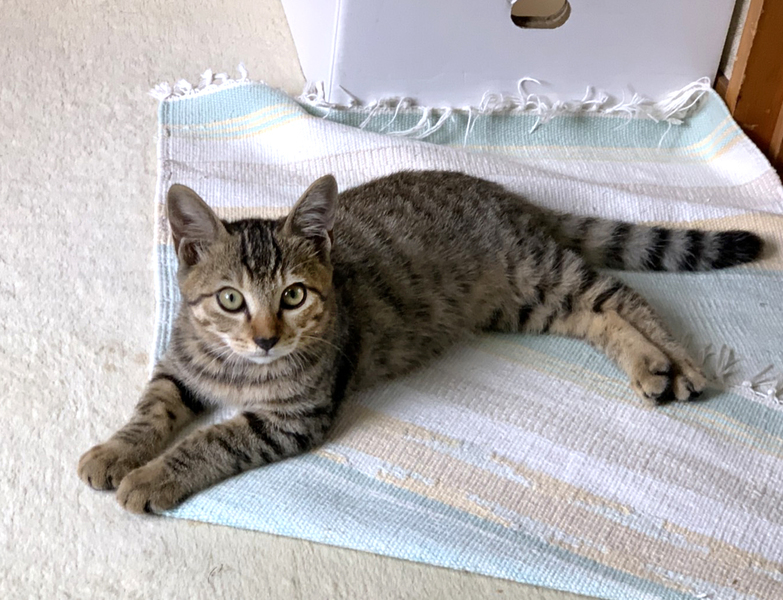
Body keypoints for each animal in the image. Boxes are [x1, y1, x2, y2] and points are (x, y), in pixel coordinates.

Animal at [78, 170, 763, 514]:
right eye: (229, 300)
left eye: (294, 296)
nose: (267, 339)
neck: (238, 369)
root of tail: (503, 192)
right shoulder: (179, 368)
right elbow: (151, 408)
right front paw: (115, 452)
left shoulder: (296, 416)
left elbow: (214, 440)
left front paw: (152, 477)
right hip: (532, 303)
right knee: (601, 316)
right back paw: (654, 365)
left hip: (540, 273)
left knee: (625, 298)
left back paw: (675, 363)